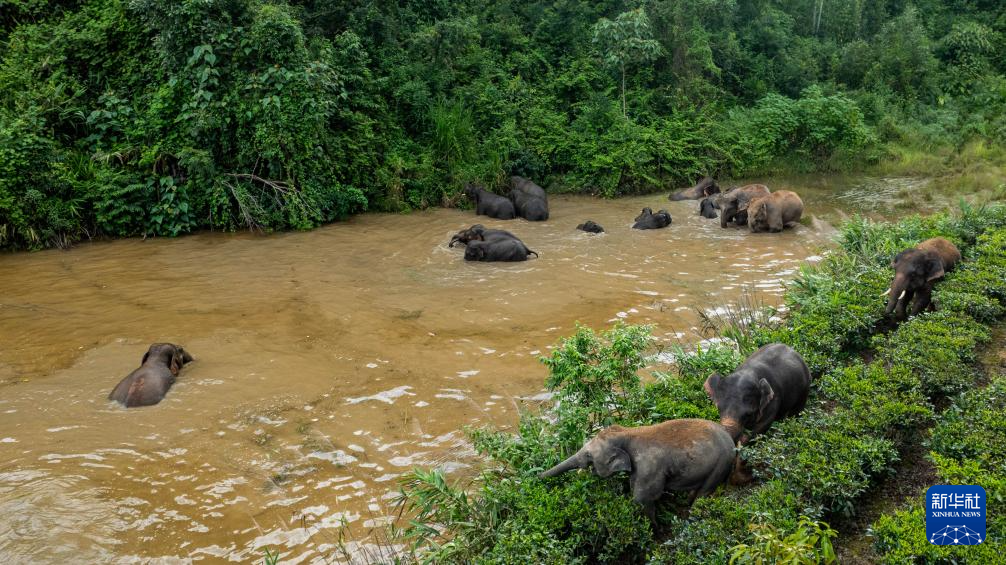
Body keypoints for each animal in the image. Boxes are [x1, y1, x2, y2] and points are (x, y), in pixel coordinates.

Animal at [539, 418, 736, 518]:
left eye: (588, 455)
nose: (536, 477)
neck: (627, 432)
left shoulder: (649, 467)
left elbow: (642, 499)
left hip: (722, 463)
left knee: (705, 492)